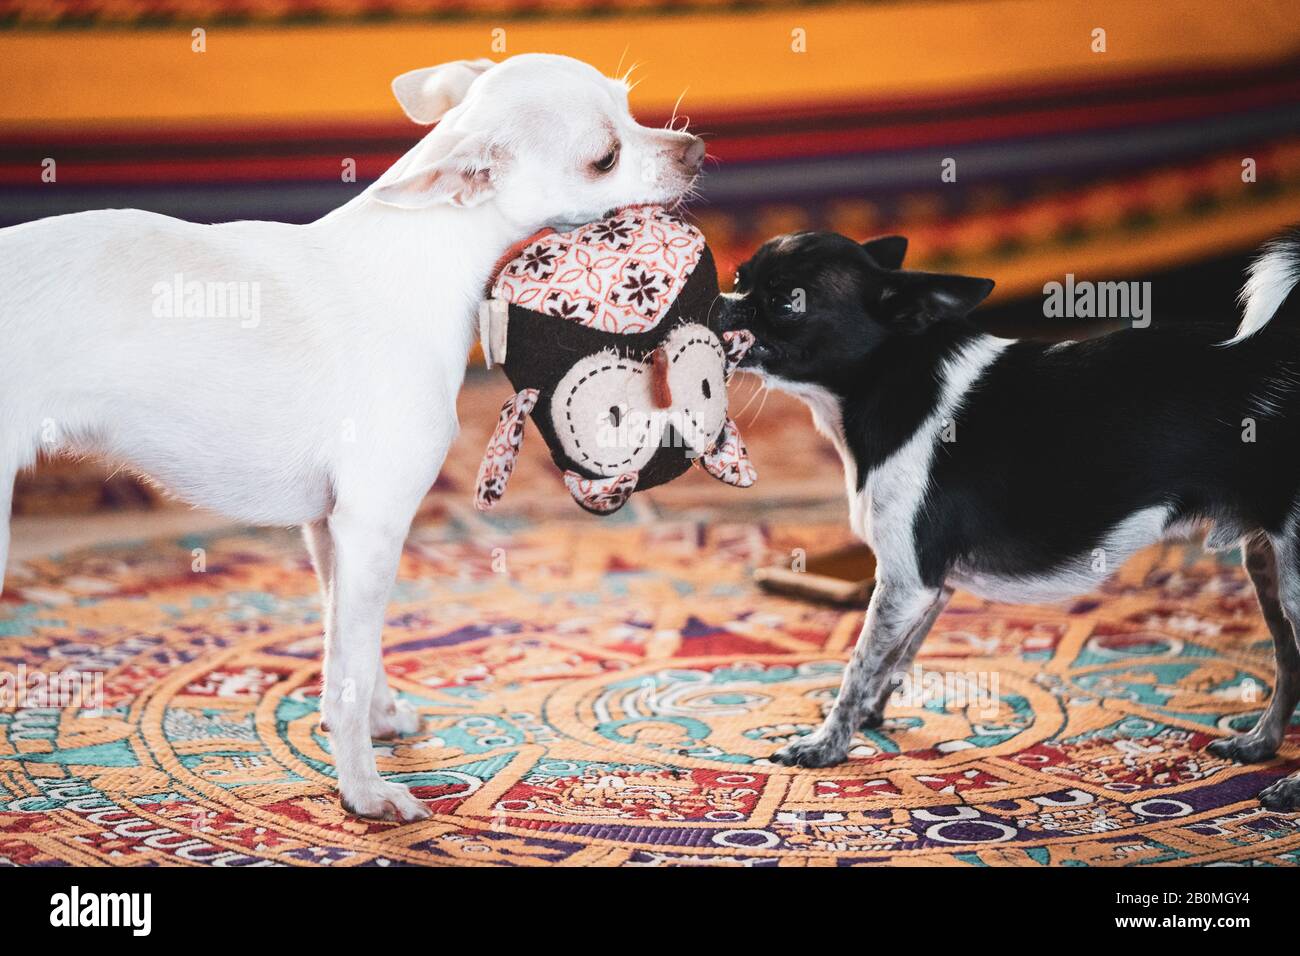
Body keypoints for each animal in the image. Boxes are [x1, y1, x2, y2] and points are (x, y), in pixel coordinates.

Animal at [0, 52, 707, 816]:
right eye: (605, 158)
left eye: (630, 106)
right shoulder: (373, 526)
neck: (422, 258)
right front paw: (365, 792)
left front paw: (381, 720)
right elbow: (347, 671)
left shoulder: (329, 531)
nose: (694, 149)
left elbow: (353, 652)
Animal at [717, 230, 1300, 806]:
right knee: (1288, 662)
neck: (887, 379)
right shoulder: (928, 588)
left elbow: (859, 667)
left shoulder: (905, 582)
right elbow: (894, 660)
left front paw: (825, 744)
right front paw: (870, 719)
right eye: (741, 277)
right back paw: (1259, 743)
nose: (721, 302)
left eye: (784, 301)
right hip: (1265, 568)